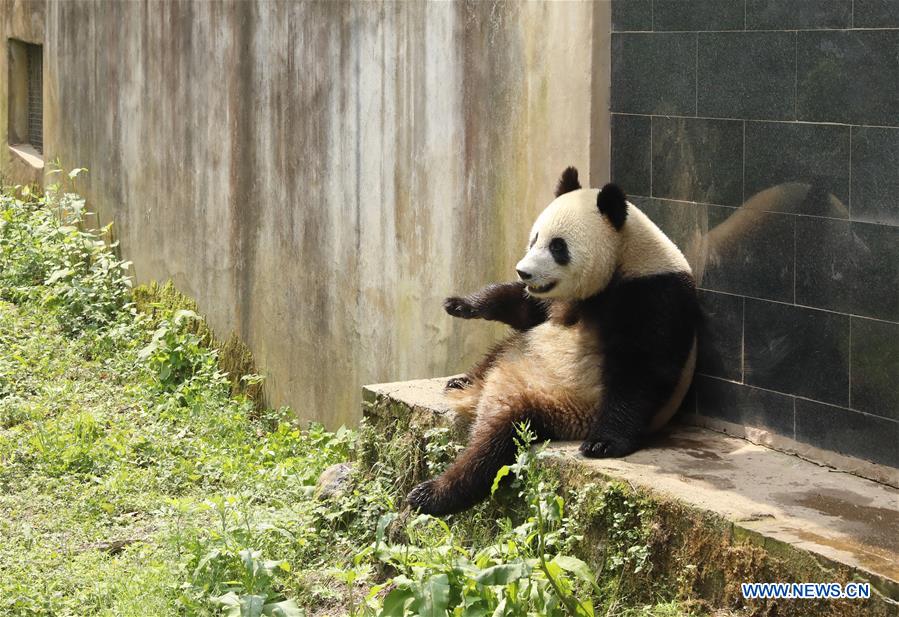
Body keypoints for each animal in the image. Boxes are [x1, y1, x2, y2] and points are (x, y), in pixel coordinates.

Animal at [407, 167, 701, 516]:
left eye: (558, 247)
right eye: (535, 238)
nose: (523, 272)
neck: (626, 257)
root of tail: (488, 392)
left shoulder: (655, 295)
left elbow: (642, 371)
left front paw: (603, 443)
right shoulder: (556, 300)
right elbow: (526, 310)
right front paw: (461, 304)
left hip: (553, 406)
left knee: (495, 445)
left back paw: (433, 493)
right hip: (519, 353)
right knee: (503, 349)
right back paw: (462, 382)